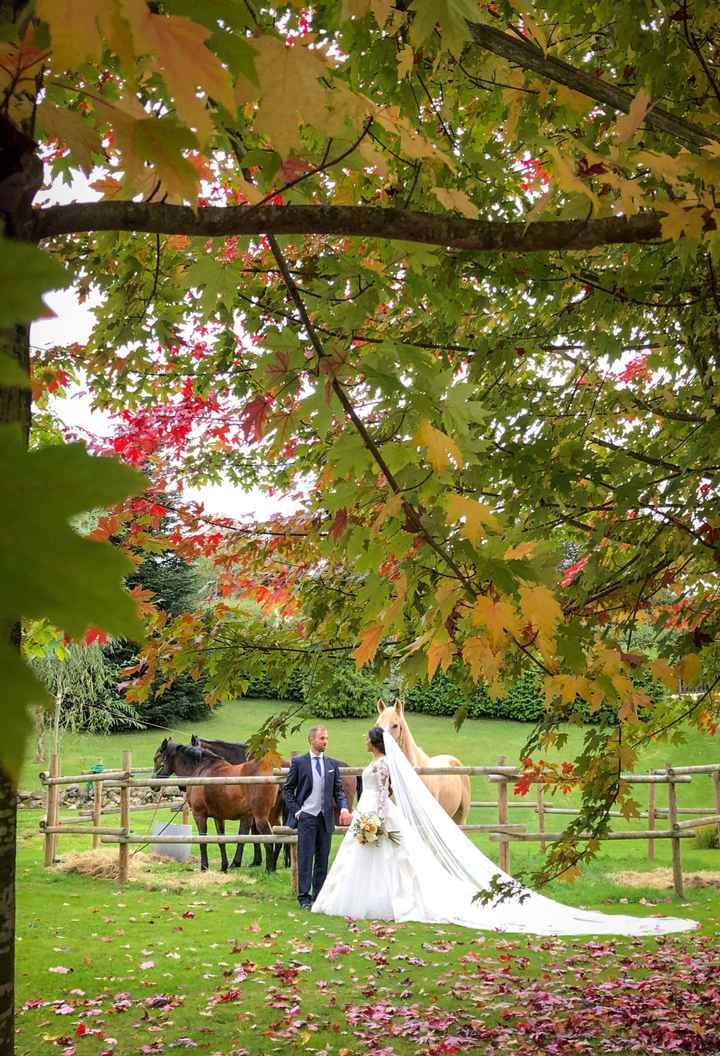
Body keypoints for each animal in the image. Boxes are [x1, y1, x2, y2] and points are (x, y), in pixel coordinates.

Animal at [153, 739, 278, 870]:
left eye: (157, 758)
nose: (153, 784)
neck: (200, 770)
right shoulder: (218, 817)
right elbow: (221, 840)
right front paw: (224, 866)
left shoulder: (199, 815)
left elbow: (203, 840)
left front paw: (204, 867)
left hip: (260, 817)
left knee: (269, 840)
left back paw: (270, 869)